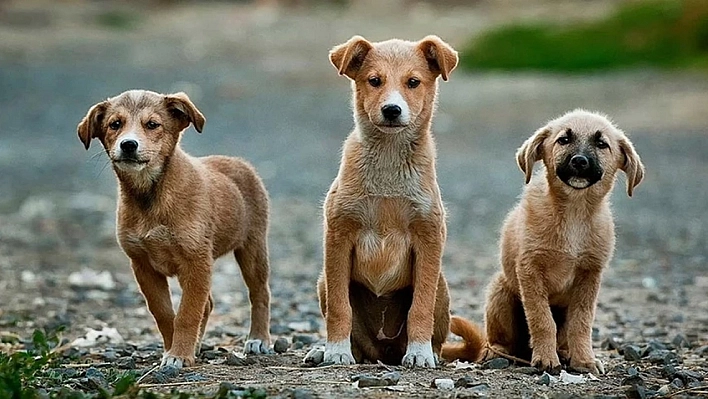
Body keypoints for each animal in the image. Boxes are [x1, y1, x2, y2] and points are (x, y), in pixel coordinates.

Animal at [77, 90, 272, 368]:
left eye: (152, 124)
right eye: (115, 124)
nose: (128, 145)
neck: (151, 196)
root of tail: (238, 162)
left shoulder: (196, 261)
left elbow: (188, 313)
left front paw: (179, 354)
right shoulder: (143, 265)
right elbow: (165, 313)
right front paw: (174, 350)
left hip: (252, 248)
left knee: (259, 294)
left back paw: (258, 339)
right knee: (208, 304)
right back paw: (198, 345)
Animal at [304, 35, 460, 368]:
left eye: (413, 82)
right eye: (374, 81)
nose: (391, 110)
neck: (389, 160)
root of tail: (383, 351)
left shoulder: (429, 237)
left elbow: (420, 307)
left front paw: (419, 352)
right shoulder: (338, 236)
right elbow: (340, 307)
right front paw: (335, 350)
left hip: (441, 285)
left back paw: (428, 352)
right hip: (323, 280)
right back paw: (324, 350)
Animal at [442, 109, 648, 376]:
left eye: (602, 144)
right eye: (564, 140)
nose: (579, 161)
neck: (574, 212)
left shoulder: (590, 275)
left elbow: (582, 323)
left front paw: (584, 360)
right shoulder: (530, 270)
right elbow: (542, 320)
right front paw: (546, 359)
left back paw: (565, 352)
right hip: (500, 292)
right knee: (499, 340)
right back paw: (498, 352)